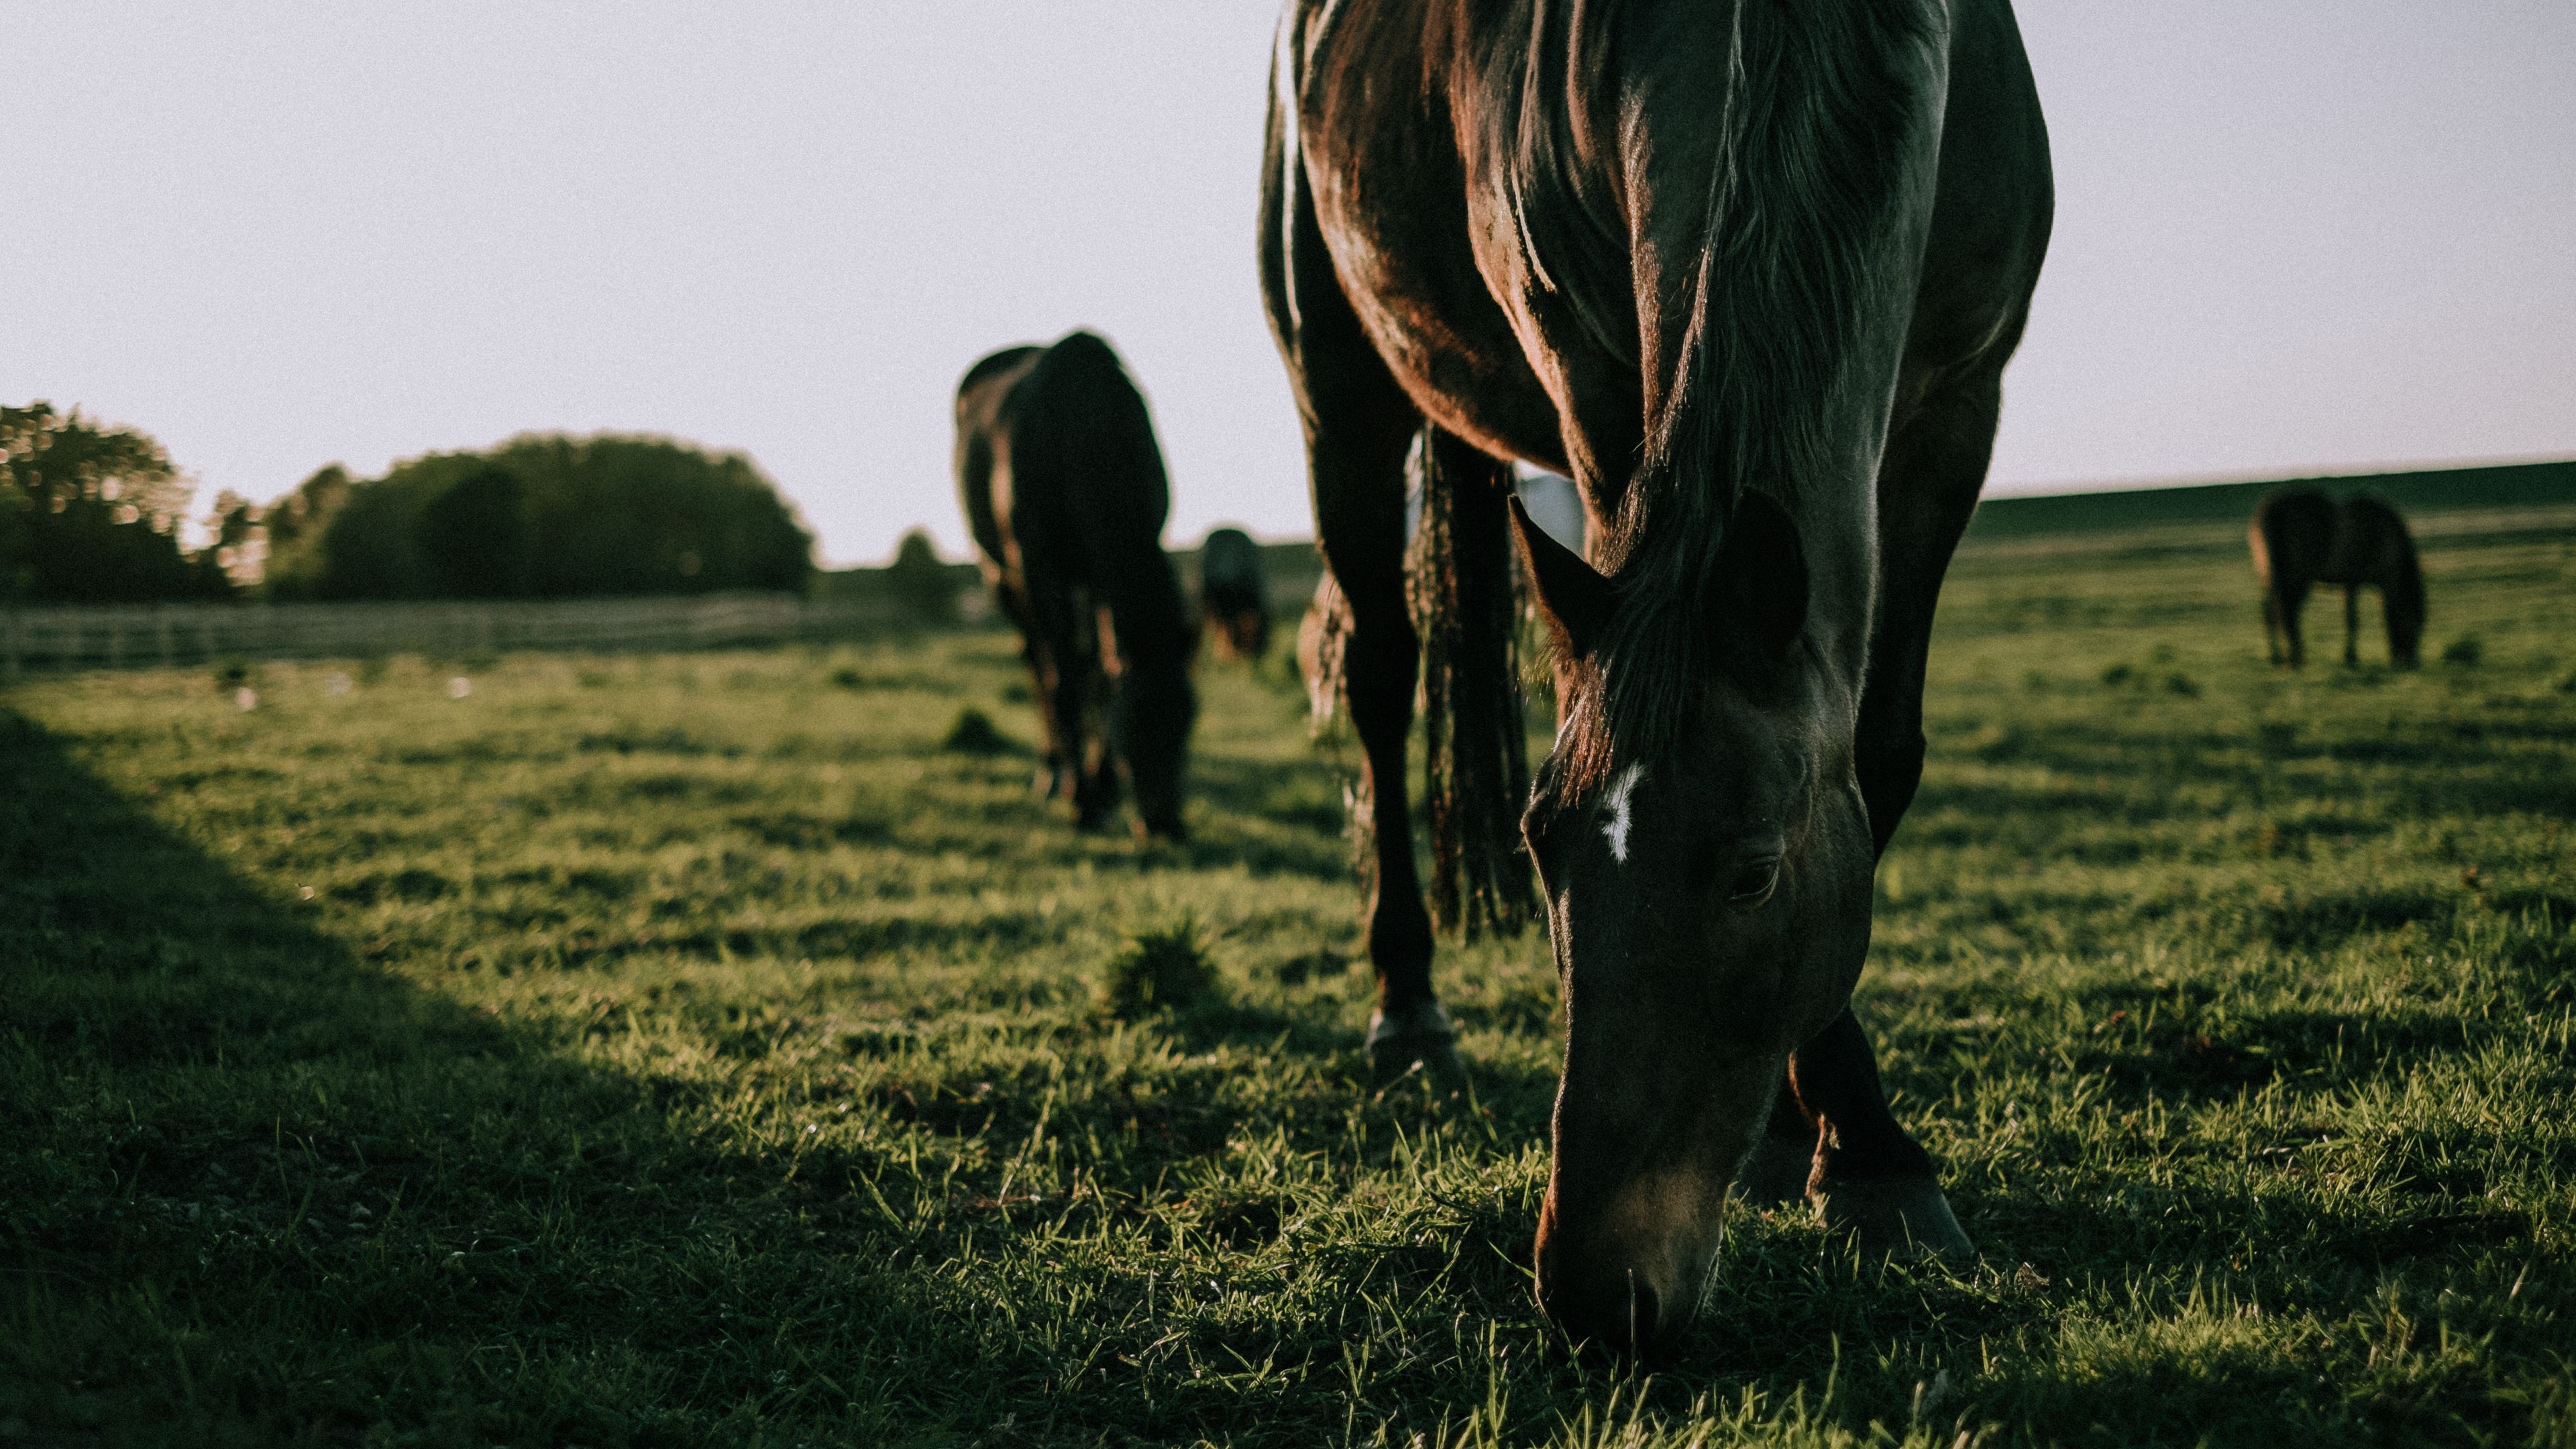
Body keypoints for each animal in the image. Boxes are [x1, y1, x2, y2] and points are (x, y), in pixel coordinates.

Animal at [954, 331, 1197, 841]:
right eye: (1132, 724)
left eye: (1189, 718)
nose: (1165, 825)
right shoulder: (1040, 568)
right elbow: (1064, 677)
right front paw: (1082, 799)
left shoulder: (1099, 574)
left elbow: (1101, 675)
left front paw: (1102, 791)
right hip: (1002, 576)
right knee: (1038, 662)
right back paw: (1051, 774)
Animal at [1262, 0, 2052, 1351]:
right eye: (1541, 848)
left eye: (1751, 872)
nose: (1595, 1294)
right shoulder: (1599, 376)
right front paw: (1856, 1151)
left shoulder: (1960, 405)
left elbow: (1879, 755)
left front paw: (1839, 1144)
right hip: (1341, 388)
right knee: (1377, 673)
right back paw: (1408, 1014)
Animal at [2250, 488, 2424, 669]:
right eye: (2413, 628)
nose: (2412, 663)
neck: (2387, 536)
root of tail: (2268, 512)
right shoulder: (2362, 582)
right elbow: (2358, 619)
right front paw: (2352, 659)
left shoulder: (2350, 584)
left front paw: (2350, 658)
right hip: (2296, 579)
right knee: (2287, 612)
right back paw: (2295, 658)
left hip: (2272, 578)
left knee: (2272, 612)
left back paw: (2278, 658)